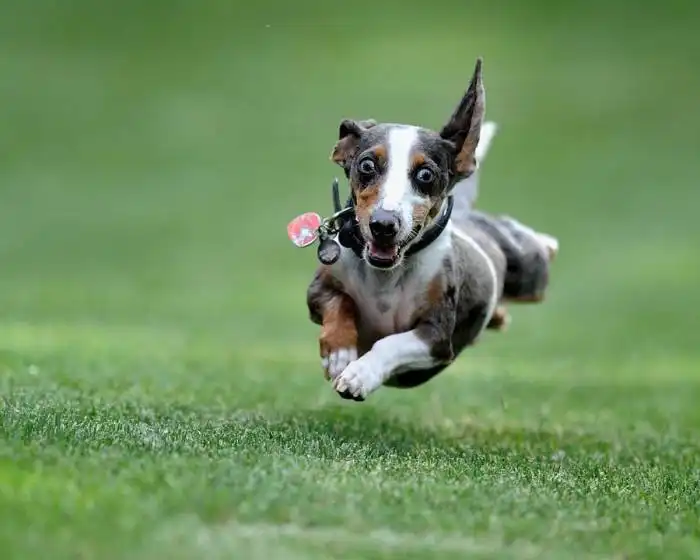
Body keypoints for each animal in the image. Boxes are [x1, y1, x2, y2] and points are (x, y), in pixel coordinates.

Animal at [306, 58, 558, 401]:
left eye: (426, 174)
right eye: (367, 165)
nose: (383, 225)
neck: (387, 277)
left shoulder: (436, 337)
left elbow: (389, 343)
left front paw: (360, 374)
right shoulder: (317, 291)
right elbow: (339, 303)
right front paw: (340, 353)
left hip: (531, 275)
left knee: (540, 254)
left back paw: (546, 244)